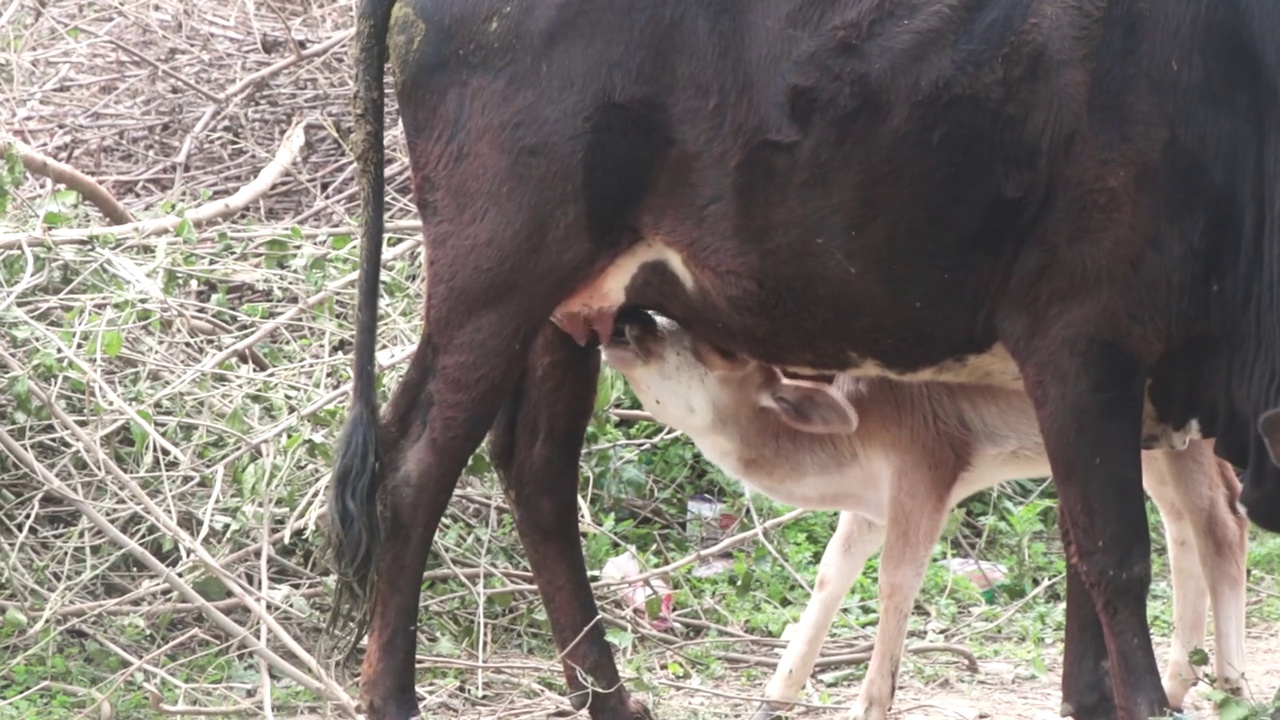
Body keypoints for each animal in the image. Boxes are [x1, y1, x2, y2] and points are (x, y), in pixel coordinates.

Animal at [599, 311, 1249, 717]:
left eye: (720, 348)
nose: (631, 321)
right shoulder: (872, 501)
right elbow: (832, 572)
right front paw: (773, 695)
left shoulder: (927, 467)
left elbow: (897, 580)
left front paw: (868, 704)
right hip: (1148, 442)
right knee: (1181, 524)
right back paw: (1175, 684)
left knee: (1222, 525)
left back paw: (1232, 684)